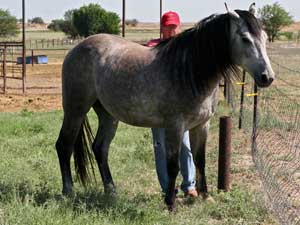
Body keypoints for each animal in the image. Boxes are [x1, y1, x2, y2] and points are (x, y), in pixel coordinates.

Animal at [55, 7, 274, 210]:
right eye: (245, 39)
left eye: (264, 37)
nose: (267, 77)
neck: (189, 70)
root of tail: (77, 48)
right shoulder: (174, 126)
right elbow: (173, 165)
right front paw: (170, 203)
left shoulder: (202, 125)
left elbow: (199, 160)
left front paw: (205, 196)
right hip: (75, 110)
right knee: (64, 145)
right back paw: (68, 191)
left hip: (108, 115)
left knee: (100, 148)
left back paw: (111, 191)